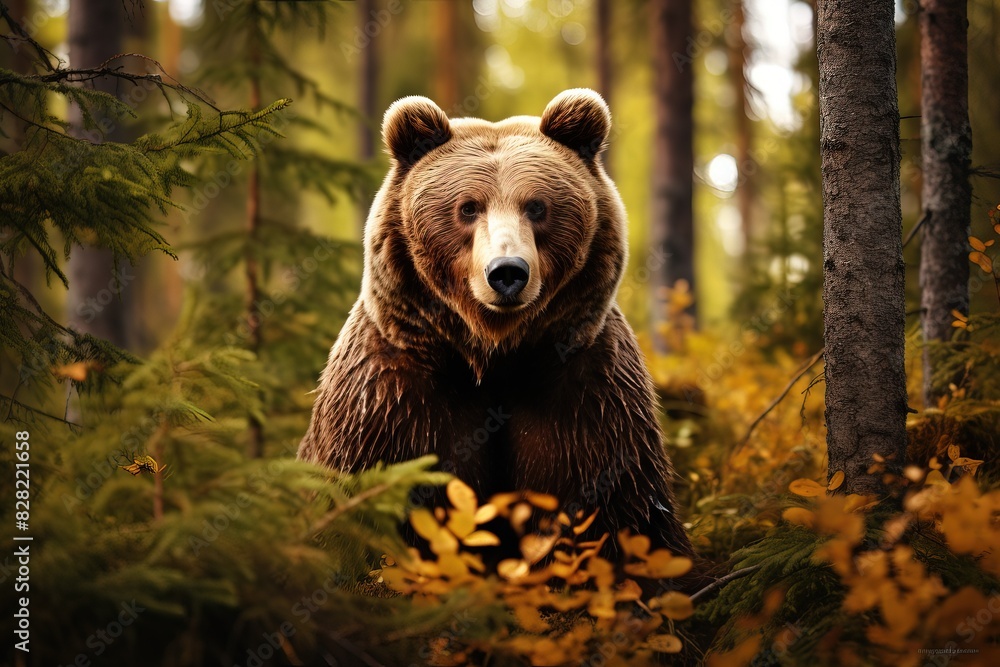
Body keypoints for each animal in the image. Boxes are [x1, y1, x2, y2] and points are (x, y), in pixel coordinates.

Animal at [298, 89, 694, 562]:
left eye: (537, 206)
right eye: (467, 207)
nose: (507, 272)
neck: (494, 356)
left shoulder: (587, 394)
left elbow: (619, 511)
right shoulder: (390, 400)